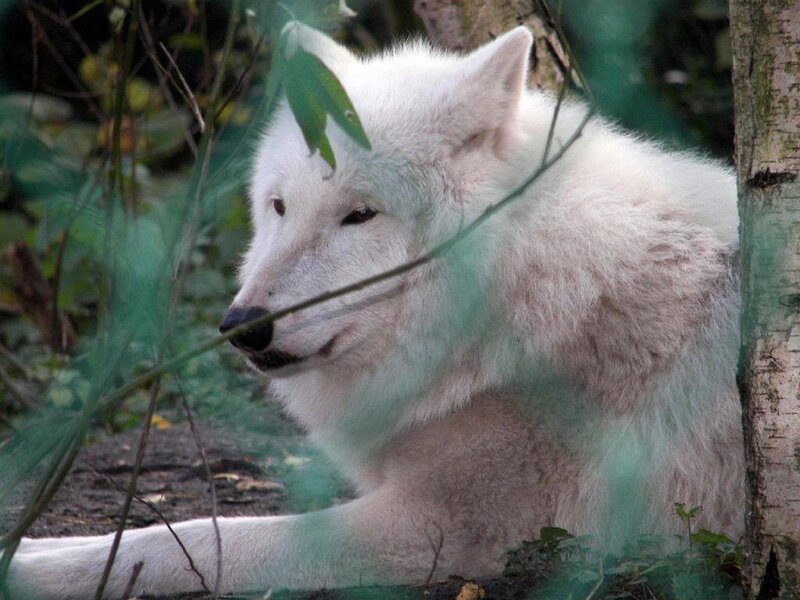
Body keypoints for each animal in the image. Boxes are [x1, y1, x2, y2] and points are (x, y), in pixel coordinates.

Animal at [6, 23, 743, 599]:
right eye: (280, 207)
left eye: (360, 215)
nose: (242, 327)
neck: (525, 283)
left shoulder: (447, 528)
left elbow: (192, 538)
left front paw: (28, 566)